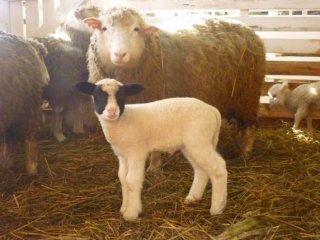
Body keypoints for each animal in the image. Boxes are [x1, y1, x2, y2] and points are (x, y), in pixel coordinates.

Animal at [76, 79, 229, 221]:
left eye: (122, 95)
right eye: (97, 94)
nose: (112, 111)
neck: (123, 121)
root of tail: (212, 109)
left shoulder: (136, 152)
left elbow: (132, 180)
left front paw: (131, 213)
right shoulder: (123, 155)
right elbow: (122, 178)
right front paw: (124, 207)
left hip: (199, 140)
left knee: (218, 167)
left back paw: (217, 207)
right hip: (191, 145)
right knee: (201, 170)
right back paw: (193, 197)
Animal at [84, 6, 264, 171]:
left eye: (136, 29)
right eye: (104, 28)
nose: (120, 55)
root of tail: (247, 28)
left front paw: (154, 168)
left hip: (248, 94)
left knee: (250, 127)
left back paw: (245, 153)